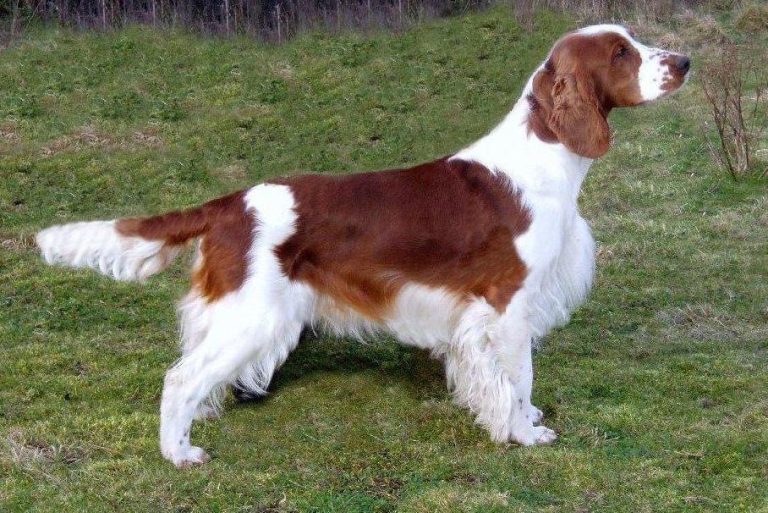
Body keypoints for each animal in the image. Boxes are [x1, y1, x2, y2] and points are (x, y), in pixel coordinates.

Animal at [36, 24, 688, 466]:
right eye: (621, 52)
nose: (685, 60)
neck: (542, 161)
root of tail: (231, 204)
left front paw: (522, 421)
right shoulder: (509, 303)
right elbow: (518, 375)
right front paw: (525, 433)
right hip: (251, 316)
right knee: (179, 379)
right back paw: (180, 454)